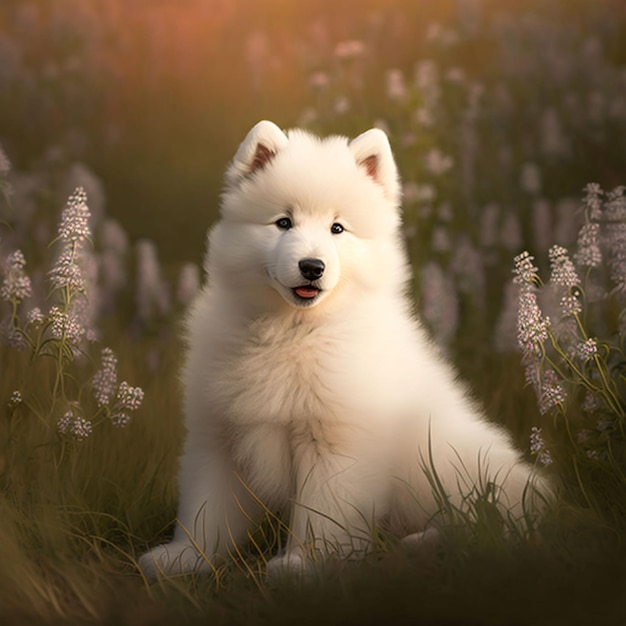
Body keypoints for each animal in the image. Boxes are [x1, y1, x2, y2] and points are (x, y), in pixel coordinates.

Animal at [139, 120, 548, 576]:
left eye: (338, 228)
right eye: (283, 222)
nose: (311, 267)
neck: (292, 332)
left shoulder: (337, 442)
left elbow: (321, 512)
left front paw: (302, 565)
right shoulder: (219, 435)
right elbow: (206, 510)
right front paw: (183, 558)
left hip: (452, 460)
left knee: (486, 524)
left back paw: (423, 545)